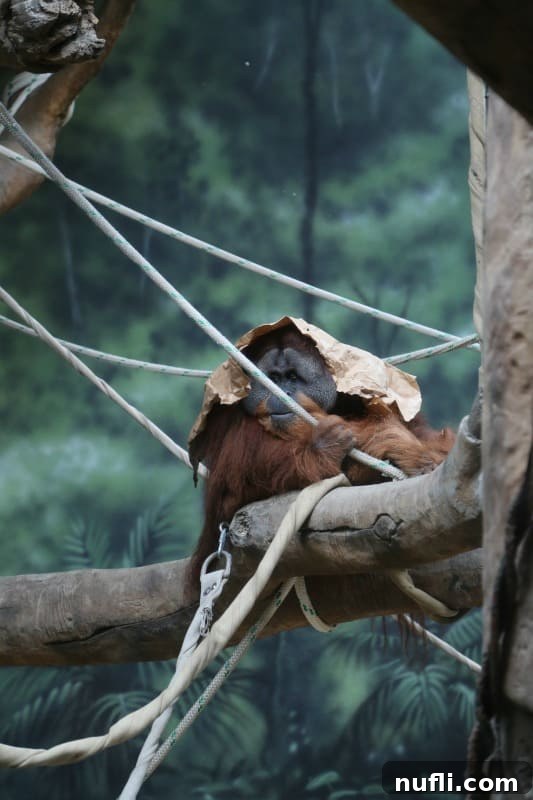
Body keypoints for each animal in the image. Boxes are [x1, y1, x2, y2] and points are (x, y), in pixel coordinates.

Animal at [189, 325, 455, 576]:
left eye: (293, 376)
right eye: (273, 378)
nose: (284, 393)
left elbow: (432, 442)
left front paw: (408, 451)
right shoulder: (229, 415)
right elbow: (233, 483)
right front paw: (328, 444)